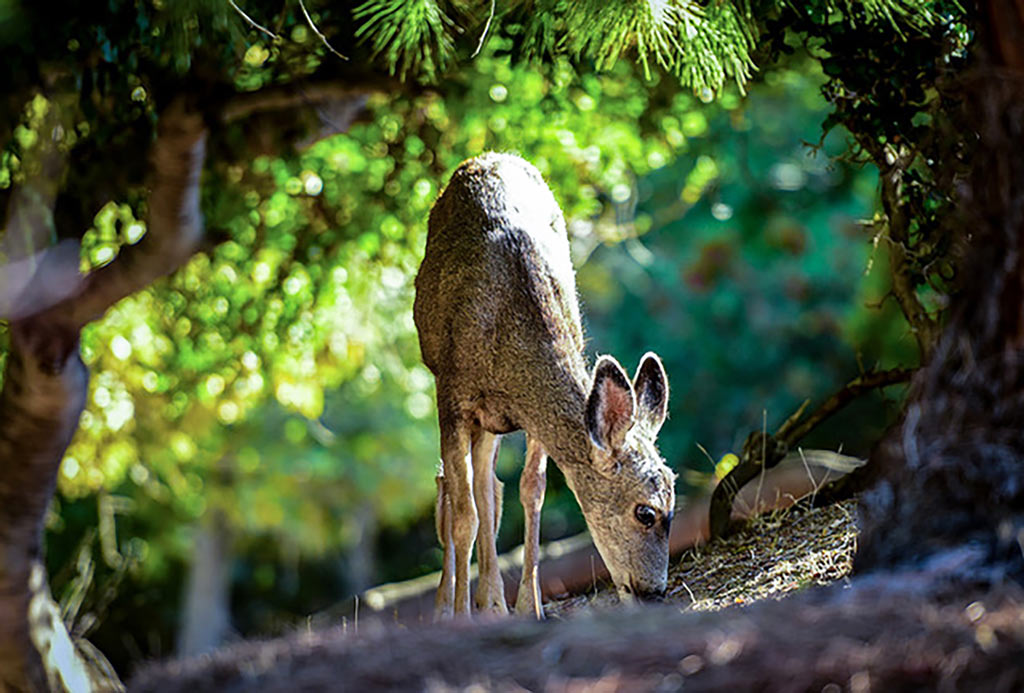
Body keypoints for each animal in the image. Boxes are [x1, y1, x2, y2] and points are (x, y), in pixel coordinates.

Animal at [414, 152, 676, 619]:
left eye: (674, 510)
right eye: (646, 512)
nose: (653, 592)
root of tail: (487, 156)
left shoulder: (532, 418)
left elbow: (529, 491)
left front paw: (528, 606)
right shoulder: (453, 394)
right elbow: (462, 515)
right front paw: (459, 615)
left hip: (491, 423)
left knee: (490, 487)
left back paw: (493, 602)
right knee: (454, 492)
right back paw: (451, 604)